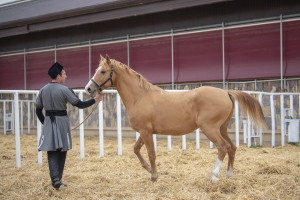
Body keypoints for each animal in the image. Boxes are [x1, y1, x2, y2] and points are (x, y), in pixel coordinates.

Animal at [85, 54, 268, 183]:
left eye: (102, 71)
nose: (88, 89)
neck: (140, 96)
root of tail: (225, 92)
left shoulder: (146, 132)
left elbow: (151, 153)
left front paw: (154, 177)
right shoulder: (145, 132)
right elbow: (136, 149)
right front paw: (148, 170)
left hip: (210, 129)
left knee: (223, 147)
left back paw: (214, 175)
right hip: (222, 128)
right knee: (232, 147)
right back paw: (229, 174)